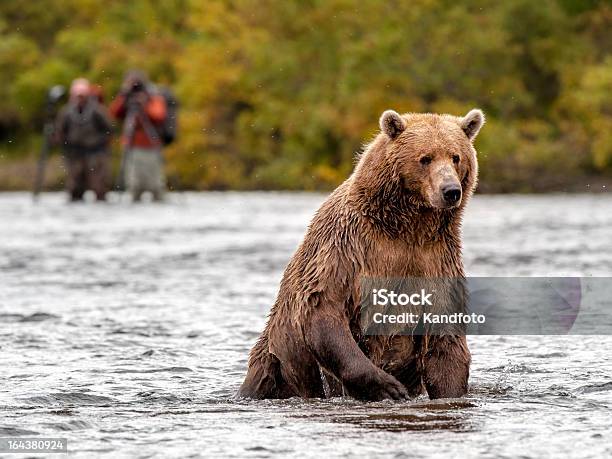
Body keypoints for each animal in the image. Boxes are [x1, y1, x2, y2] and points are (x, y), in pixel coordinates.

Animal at [237, 107, 486, 398]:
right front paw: (387, 386)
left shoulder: (436, 259)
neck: (408, 227)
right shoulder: (349, 247)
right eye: (426, 158)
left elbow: (445, 339)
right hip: (277, 360)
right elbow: (321, 306)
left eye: (456, 156)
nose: (451, 191)